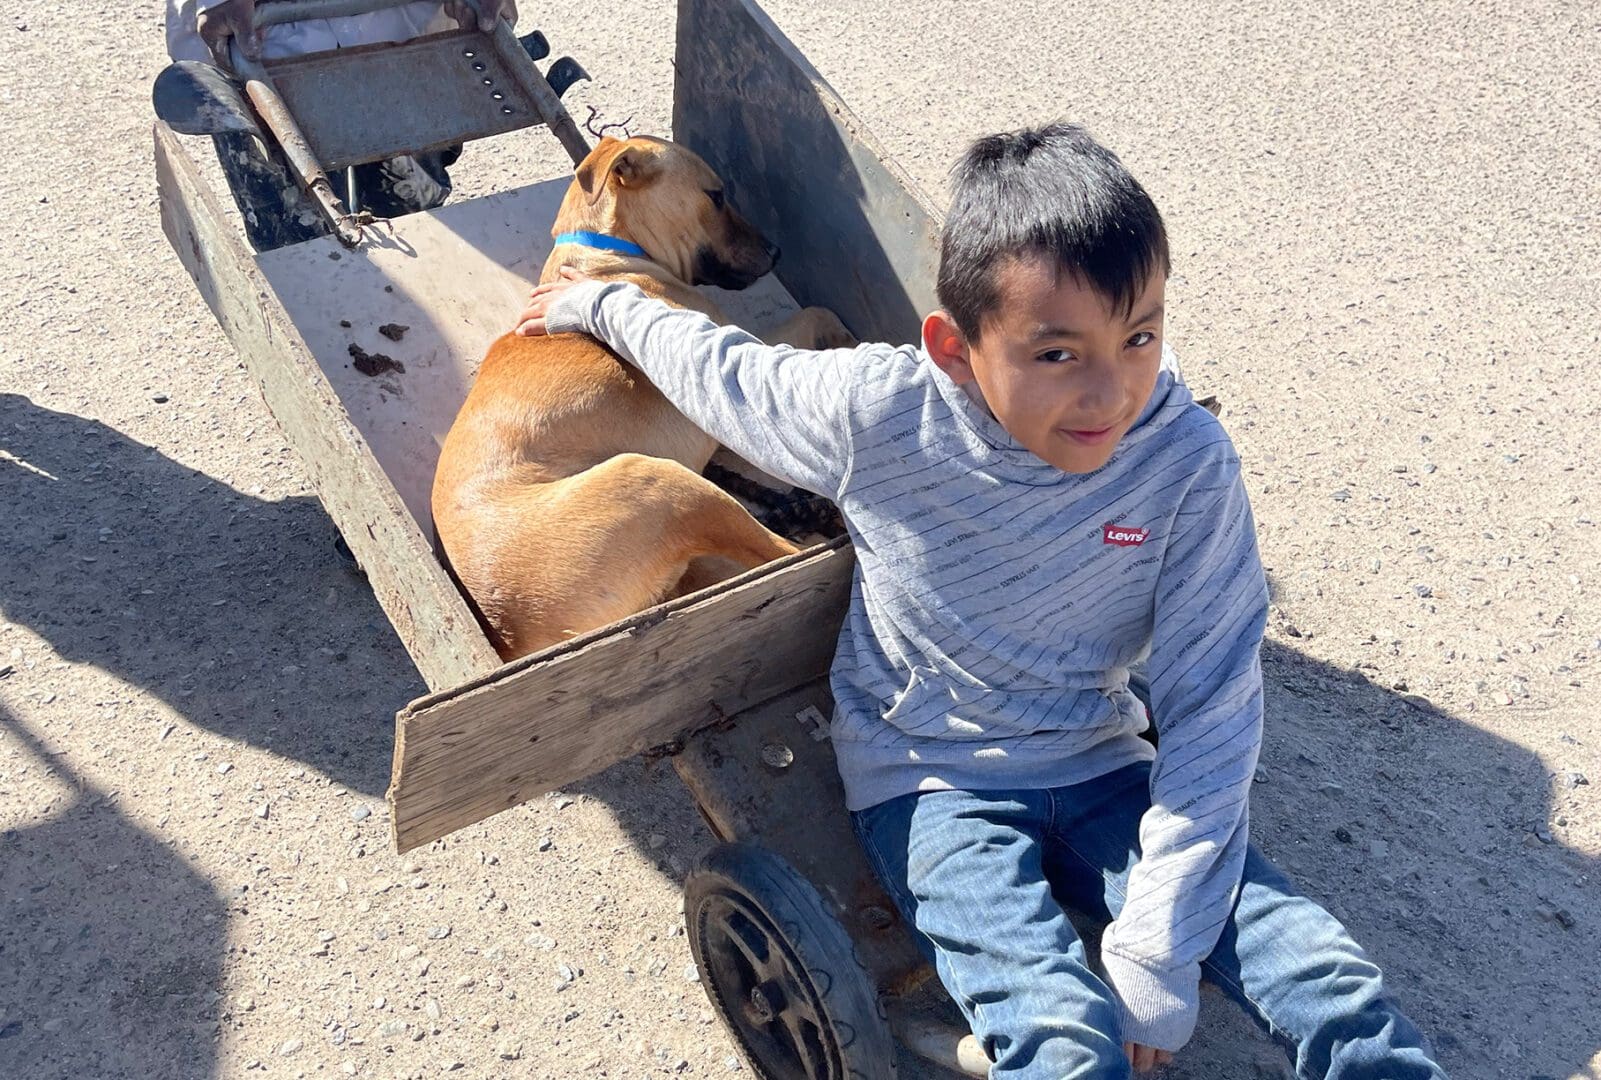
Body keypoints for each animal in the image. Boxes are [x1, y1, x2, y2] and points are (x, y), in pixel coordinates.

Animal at [425, 135, 851, 659]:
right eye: (716, 195)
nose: (775, 252)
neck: (607, 251)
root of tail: (512, 637)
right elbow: (817, 312)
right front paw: (850, 341)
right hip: (658, 479)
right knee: (784, 557)